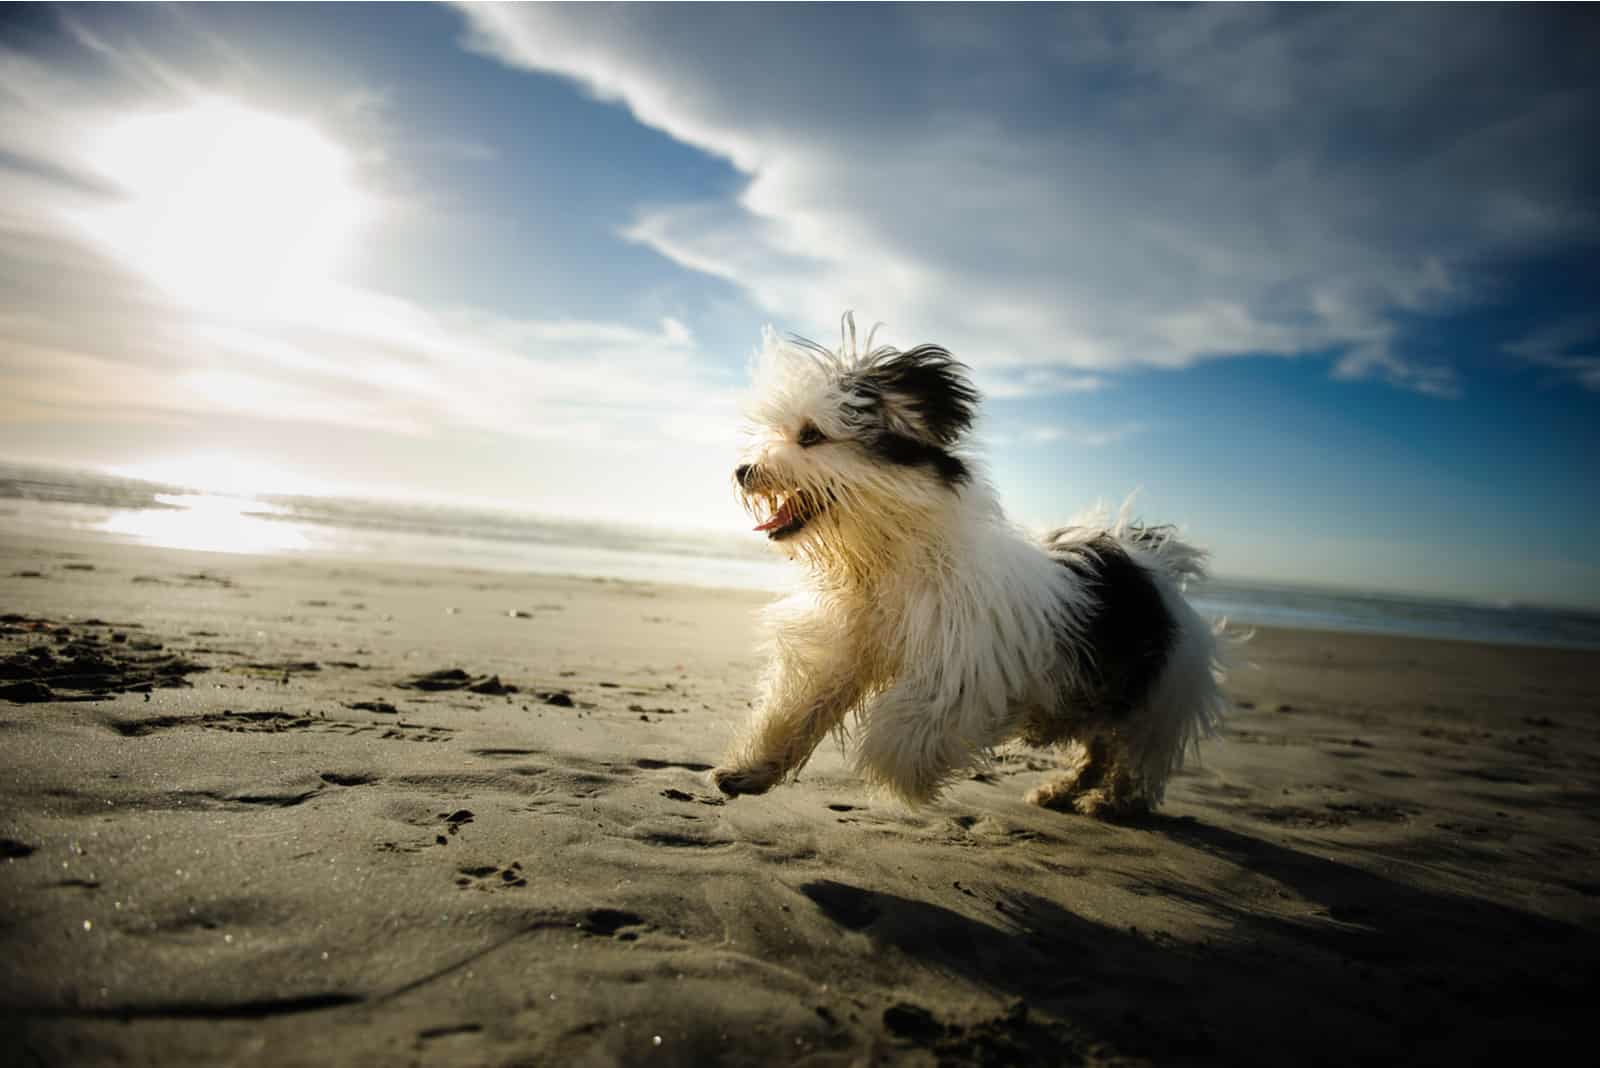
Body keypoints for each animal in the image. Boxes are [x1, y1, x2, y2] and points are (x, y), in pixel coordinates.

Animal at [713, 316, 1222, 818]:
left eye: (811, 435)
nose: (743, 471)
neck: (892, 554)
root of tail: (1153, 563)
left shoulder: (959, 666)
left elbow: (905, 731)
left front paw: (903, 775)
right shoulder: (842, 645)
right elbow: (801, 705)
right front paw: (750, 770)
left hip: (1155, 699)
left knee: (1132, 757)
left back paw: (1107, 801)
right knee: (1099, 748)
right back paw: (1061, 791)